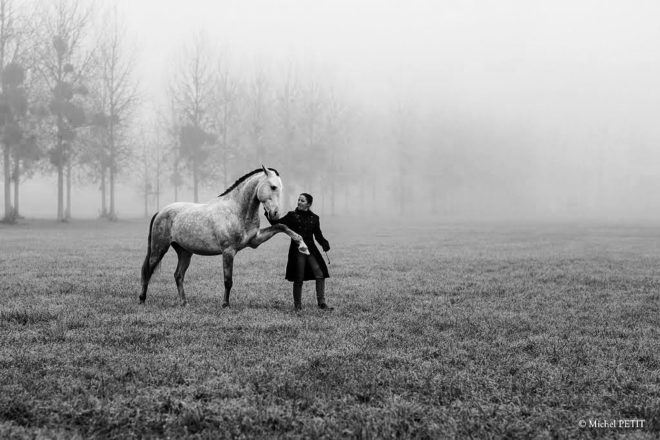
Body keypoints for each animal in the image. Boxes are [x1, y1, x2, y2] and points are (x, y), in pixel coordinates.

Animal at [140, 166, 309, 307]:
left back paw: (184, 302)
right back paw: (142, 299)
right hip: (159, 248)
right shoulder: (228, 251)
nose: (275, 214)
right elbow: (228, 280)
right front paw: (225, 304)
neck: (236, 210)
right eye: (273, 187)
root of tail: (161, 212)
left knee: (178, 275)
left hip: (185, 252)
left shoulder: (255, 241)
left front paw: (302, 245)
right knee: (148, 270)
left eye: (281, 188)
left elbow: (281, 227)